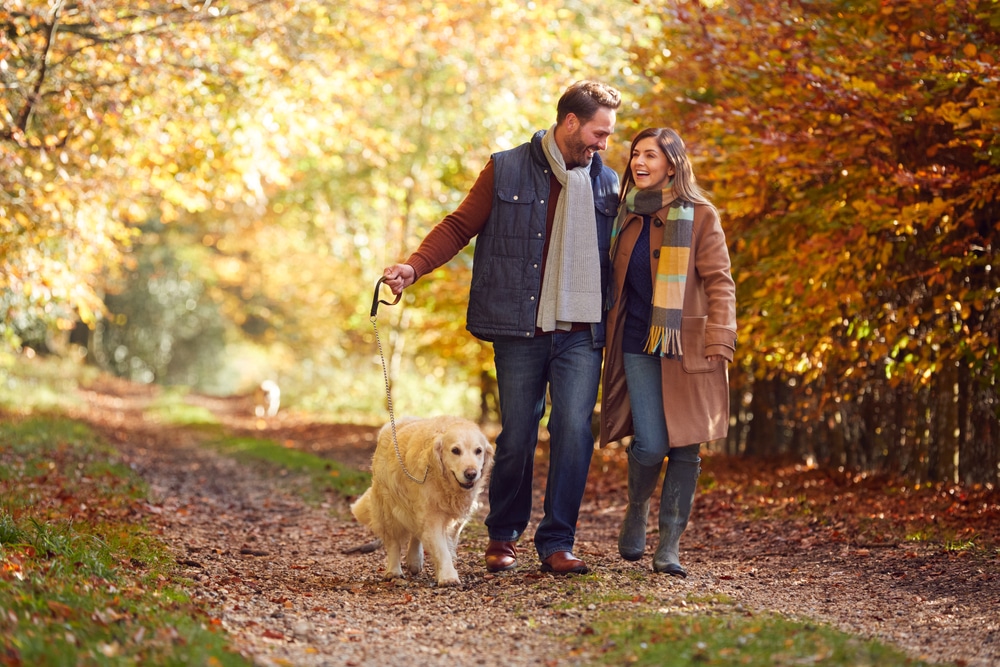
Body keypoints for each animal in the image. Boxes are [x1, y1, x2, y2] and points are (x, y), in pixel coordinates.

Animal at [350, 418, 494, 588]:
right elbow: (441, 549)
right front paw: (448, 576)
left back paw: (414, 560)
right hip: (387, 508)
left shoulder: (456, 520)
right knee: (393, 542)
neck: (445, 482)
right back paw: (394, 571)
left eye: (478, 451)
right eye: (455, 450)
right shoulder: (432, 517)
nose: (471, 474)